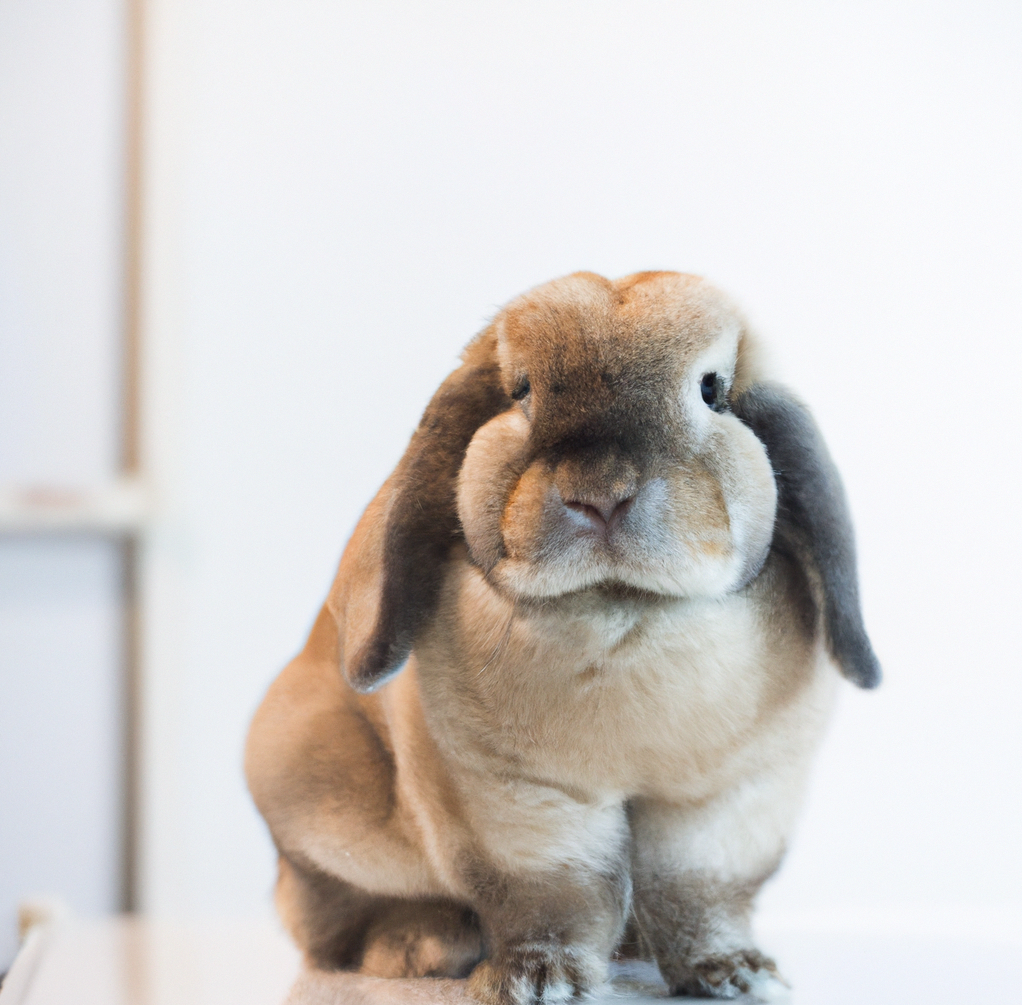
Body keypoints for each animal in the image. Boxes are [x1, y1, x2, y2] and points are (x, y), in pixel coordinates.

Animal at [247, 271, 878, 1001]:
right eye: (521, 390)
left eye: (711, 388)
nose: (601, 493)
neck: (622, 610)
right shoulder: (514, 801)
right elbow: (552, 895)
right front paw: (535, 979)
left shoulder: (728, 802)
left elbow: (702, 896)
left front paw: (736, 972)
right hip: (316, 803)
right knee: (335, 915)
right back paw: (421, 948)